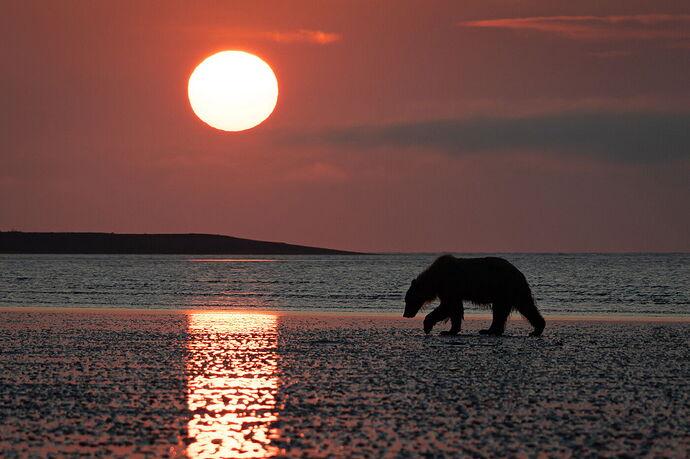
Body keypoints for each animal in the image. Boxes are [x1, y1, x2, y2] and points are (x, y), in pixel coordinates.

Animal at [403, 254, 545, 336]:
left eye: (407, 300)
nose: (406, 314)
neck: (435, 278)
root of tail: (519, 272)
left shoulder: (449, 285)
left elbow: (447, 306)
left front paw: (429, 326)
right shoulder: (452, 290)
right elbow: (455, 309)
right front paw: (451, 330)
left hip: (506, 287)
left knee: (522, 306)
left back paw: (536, 329)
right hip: (504, 292)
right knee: (505, 310)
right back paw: (490, 330)